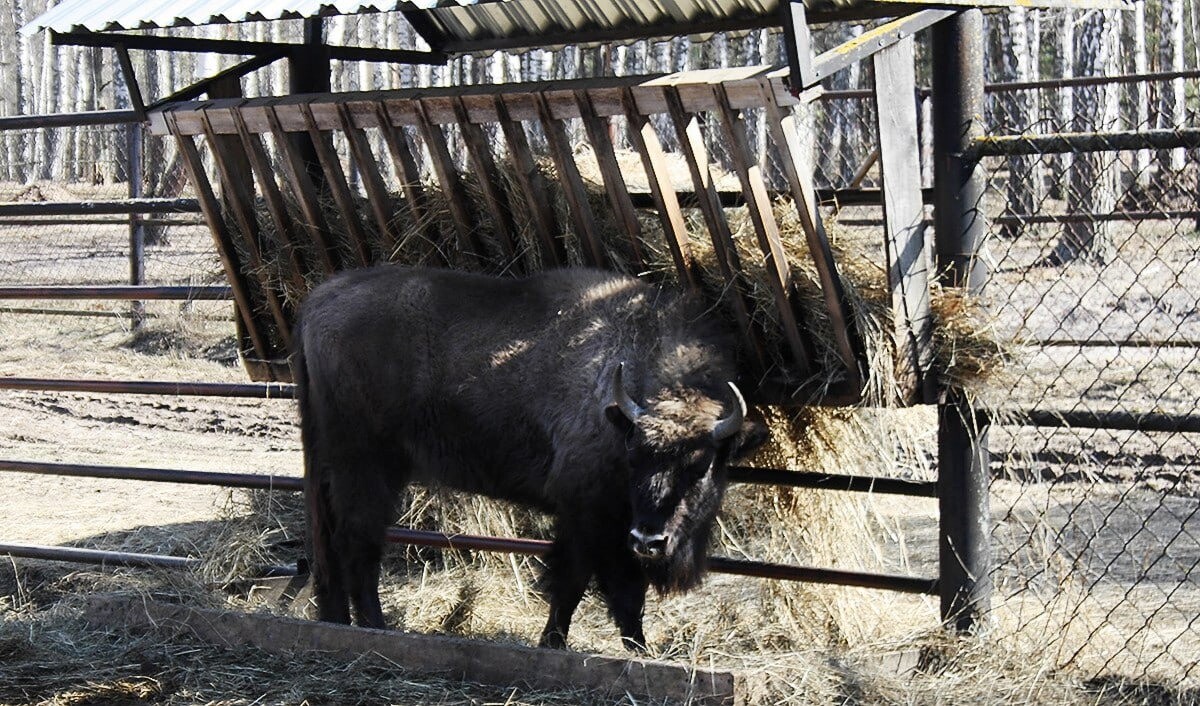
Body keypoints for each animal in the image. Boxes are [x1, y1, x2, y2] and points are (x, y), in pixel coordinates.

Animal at [294, 266, 763, 653]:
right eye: (635, 457)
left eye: (701, 467)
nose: (651, 540)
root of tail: (318, 301)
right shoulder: (586, 514)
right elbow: (578, 583)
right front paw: (555, 643)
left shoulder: (618, 527)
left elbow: (625, 592)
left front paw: (640, 649)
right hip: (366, 466)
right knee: (358, 542)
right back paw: (376, 627)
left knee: (333, 545)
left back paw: (339, 622)